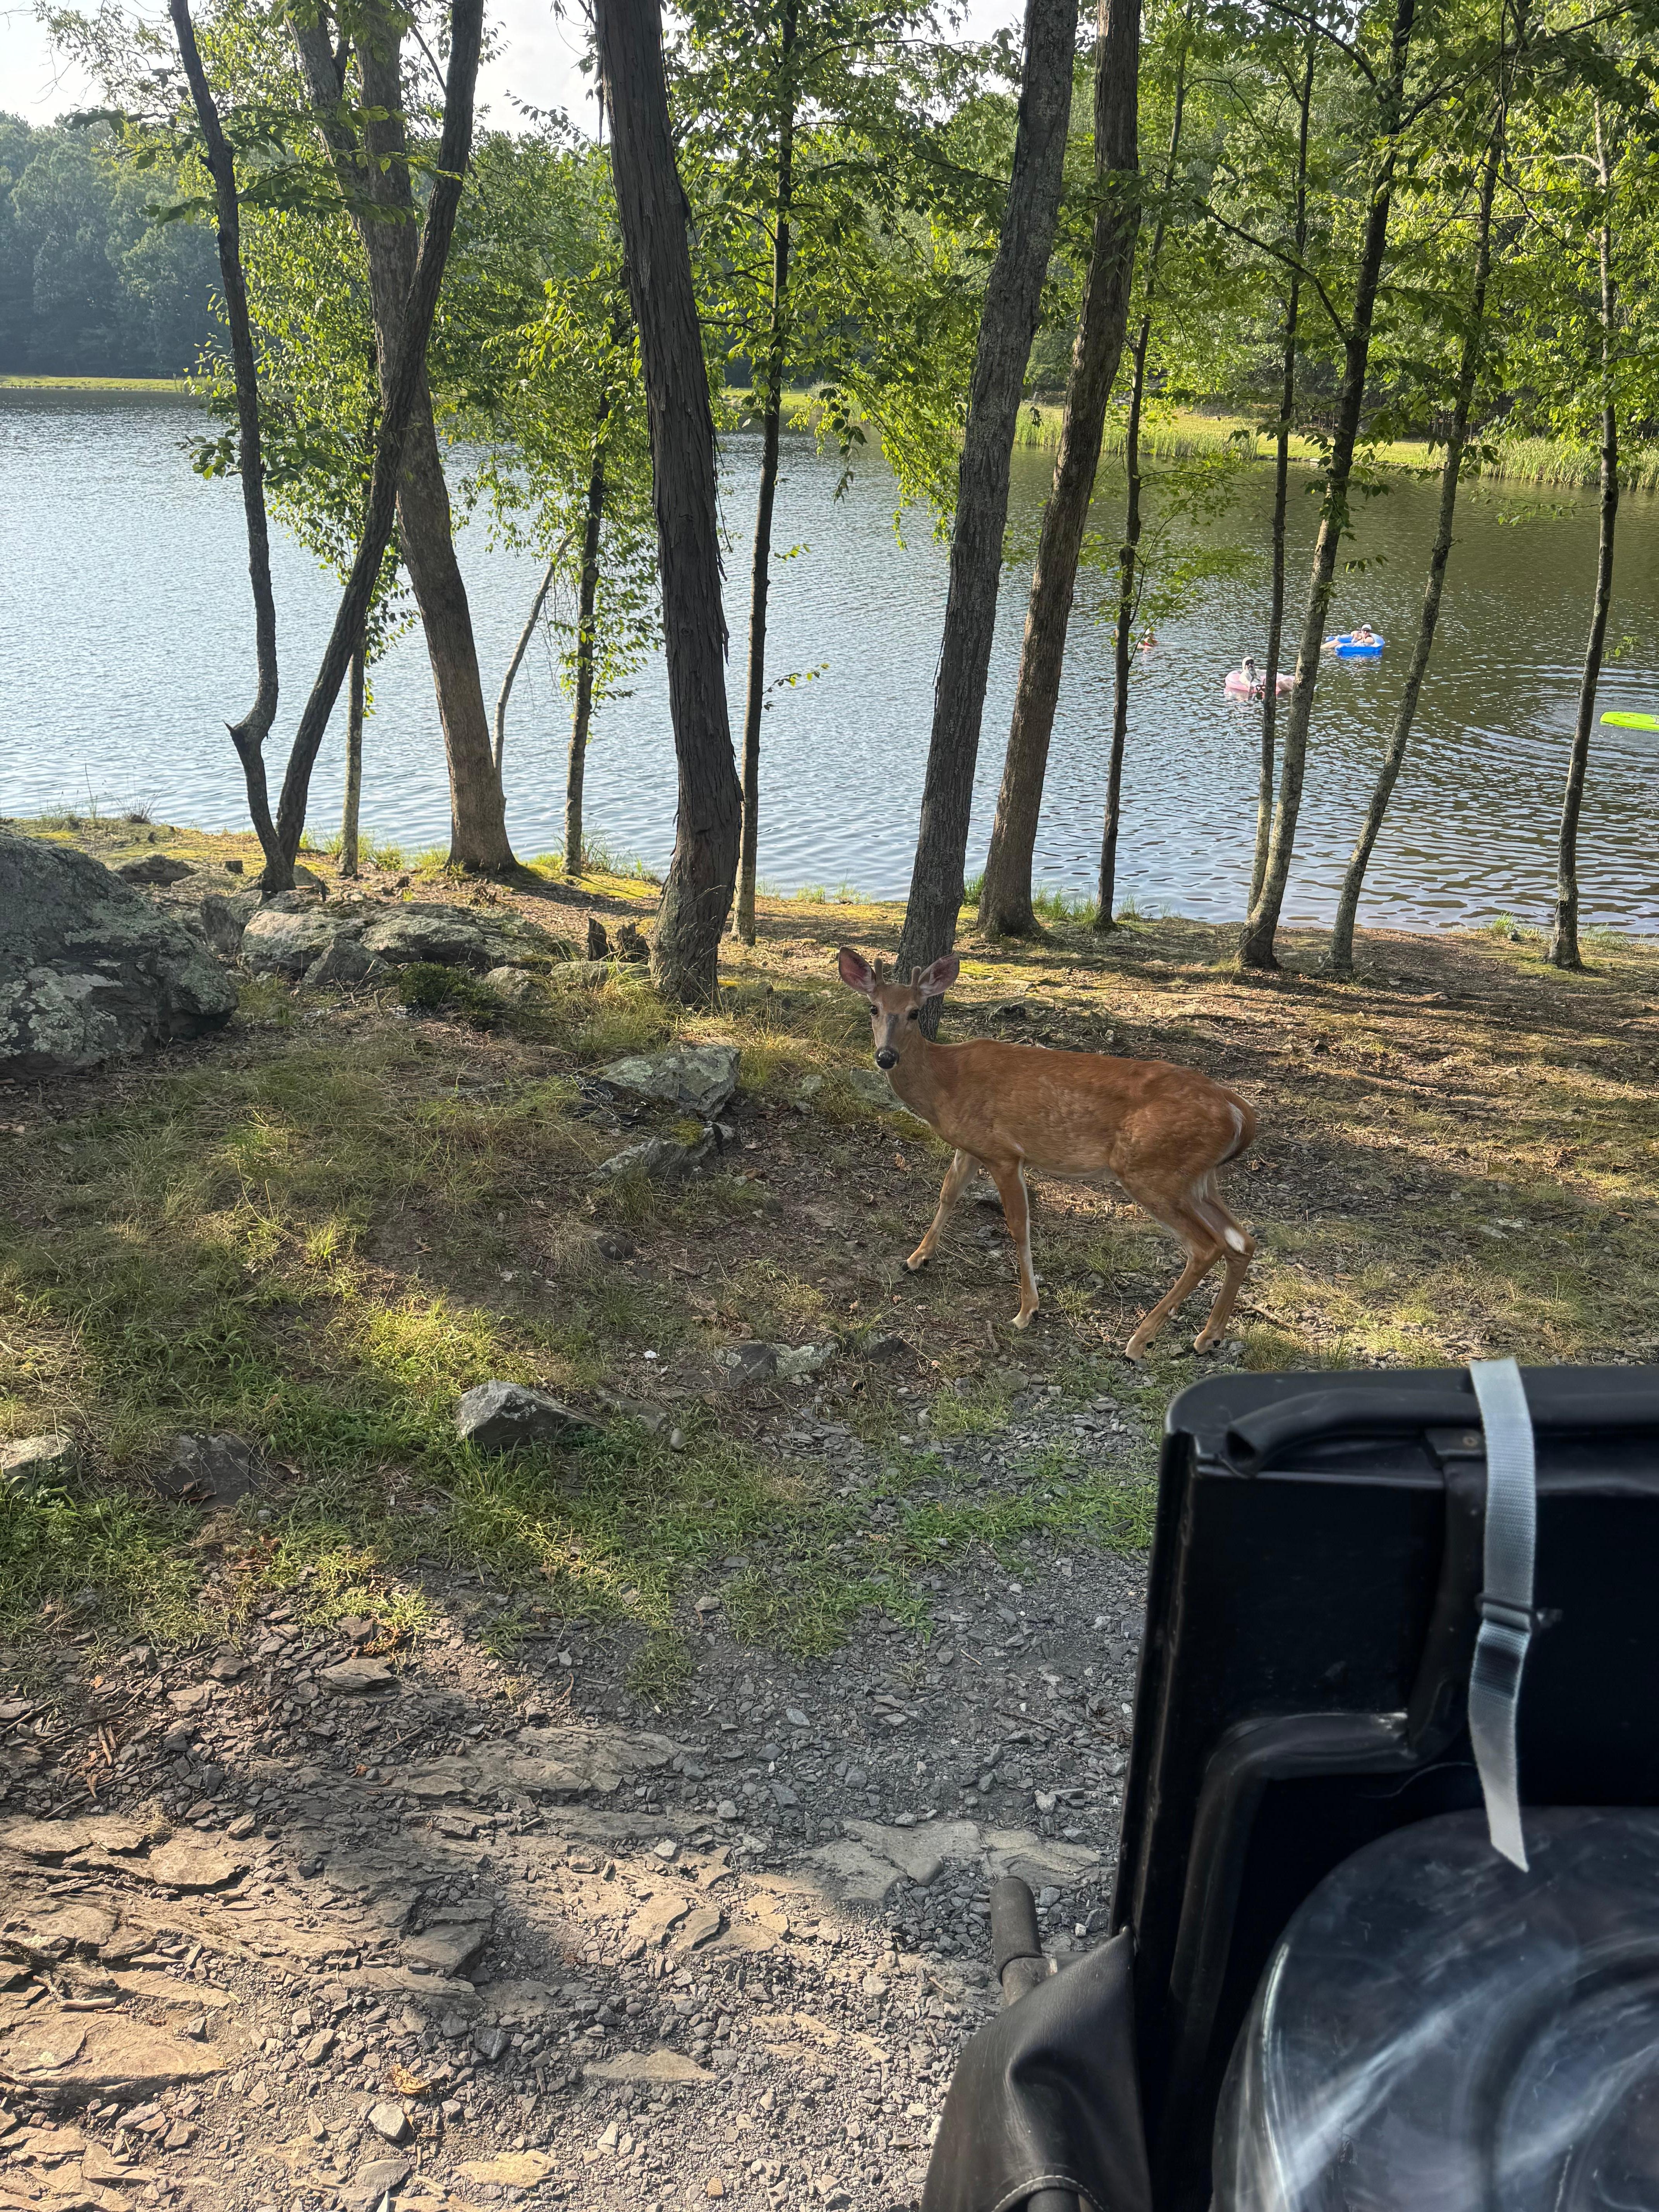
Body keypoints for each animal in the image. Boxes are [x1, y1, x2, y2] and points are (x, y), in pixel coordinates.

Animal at [837, 946, 1258, 1360]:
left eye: (914, 1012)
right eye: (873, 1008)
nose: (886, 1057)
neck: (946, 1083)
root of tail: (1239, 1110)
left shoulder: (1004, 1153)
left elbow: (1018, 1226)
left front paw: (1028, 1310)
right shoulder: (971, 1146)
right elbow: (948, 1194)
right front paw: (916, 1259)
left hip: (1152, 1171)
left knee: (1207, 1246)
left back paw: (1139, 1341)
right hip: (1197, 1179)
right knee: (1241, 1241)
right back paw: (1208, 1337)